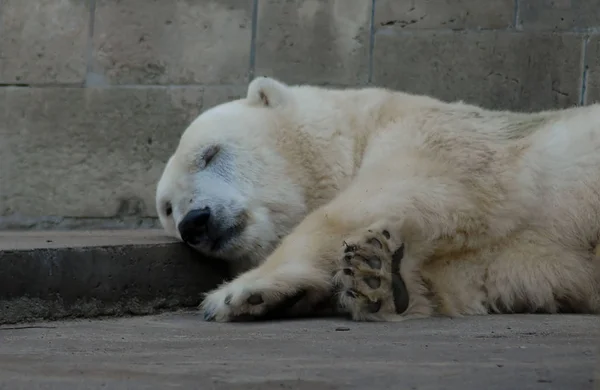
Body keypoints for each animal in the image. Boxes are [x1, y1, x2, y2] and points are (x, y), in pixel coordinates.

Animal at [156, 76, 600, 322]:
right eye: (167, 209)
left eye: (210, 153)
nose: (194, 222)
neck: (360, 128)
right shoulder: (502, 260)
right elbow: (461, 282)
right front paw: (379, 278)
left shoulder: (441, 136)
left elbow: (399, 190)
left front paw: (238, 292)